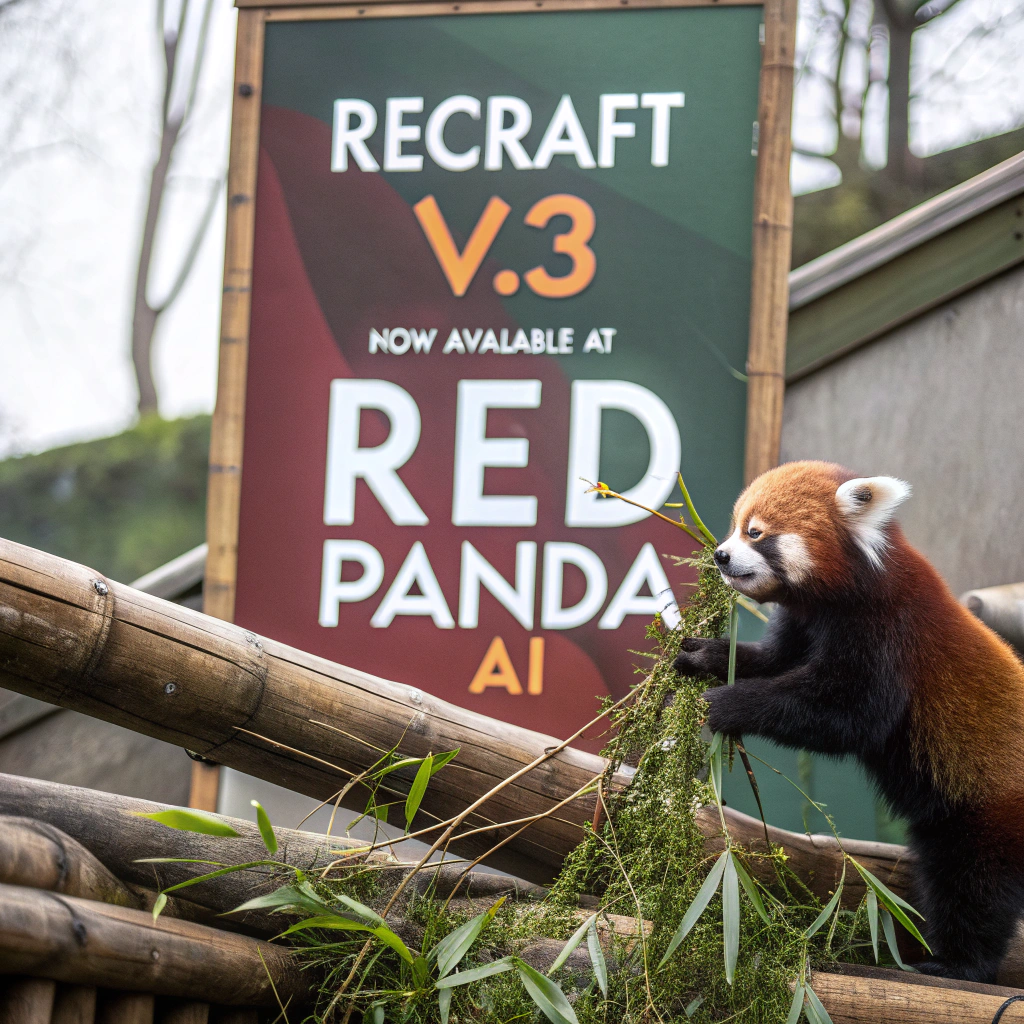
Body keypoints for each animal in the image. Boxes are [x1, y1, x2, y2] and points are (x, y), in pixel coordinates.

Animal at [673, 459, 1024, 983]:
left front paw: (727, 703)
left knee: (976, 886)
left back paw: (957, 963)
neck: (848, 589)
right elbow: (771, 661)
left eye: (756, 533)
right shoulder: (803, 624)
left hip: (992, 811)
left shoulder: (887, 631)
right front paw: (707, 655)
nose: (720, 555)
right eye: (735, 527)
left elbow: (850, 716)